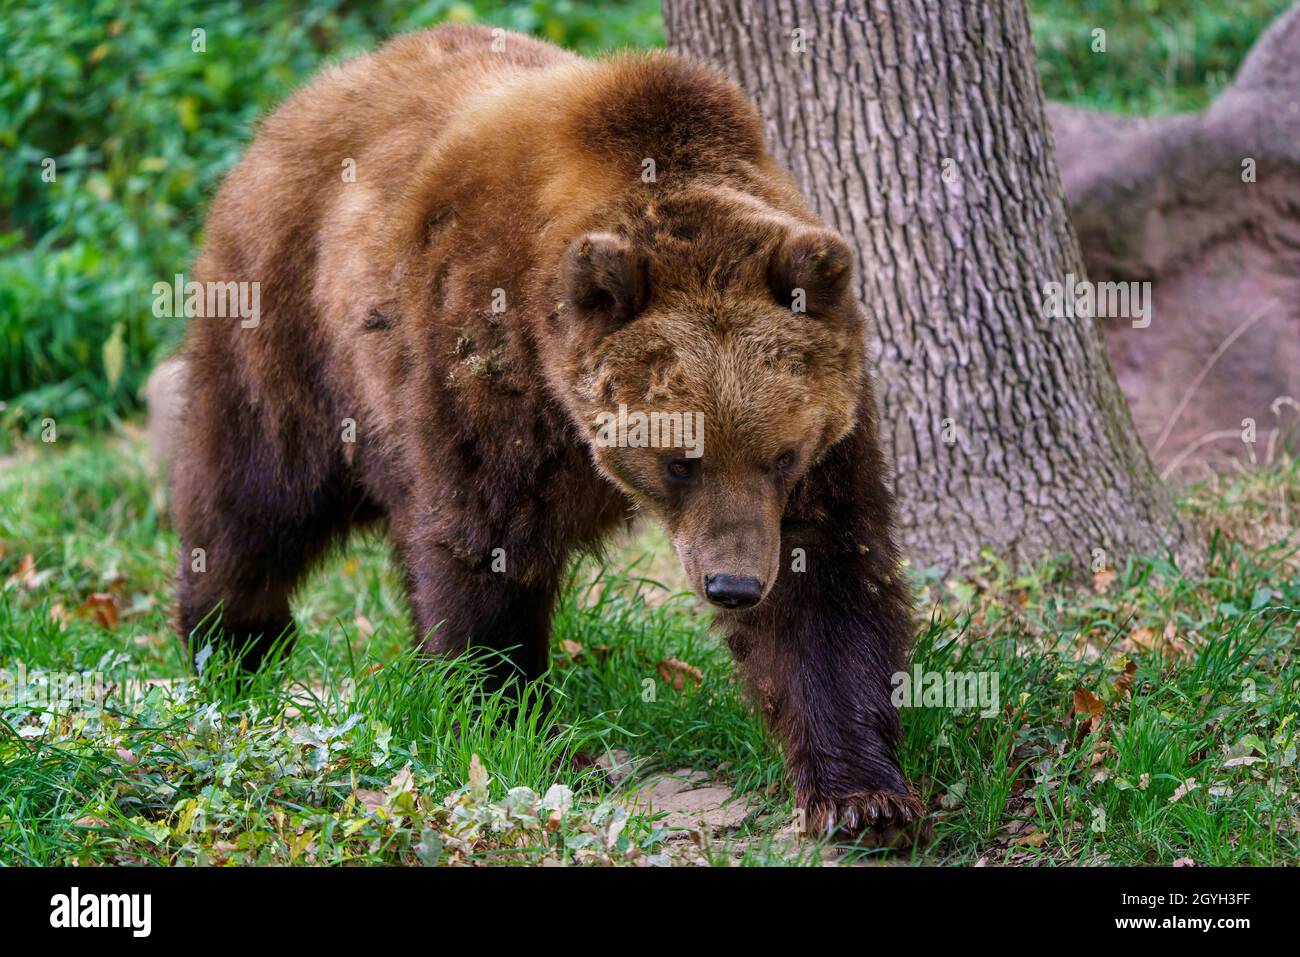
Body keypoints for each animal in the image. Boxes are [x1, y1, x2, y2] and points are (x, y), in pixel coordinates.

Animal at [172, 23, 924, 843]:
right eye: (680, 458)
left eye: (781, 455)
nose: (732, 586)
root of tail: (297, 104)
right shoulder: (484, 359)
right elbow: (484, 543)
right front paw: (513, 724)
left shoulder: (829, 425)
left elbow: (826, 575)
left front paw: (860, 795)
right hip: (292, 320)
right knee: (257, 492)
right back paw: (232, 642)